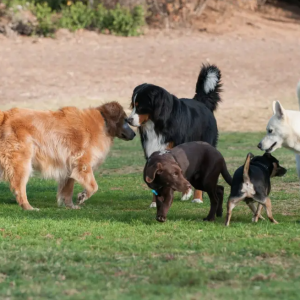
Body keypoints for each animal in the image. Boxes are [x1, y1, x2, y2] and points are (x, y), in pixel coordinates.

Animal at [0, 102, 135, 210]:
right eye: (125, 120)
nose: (134, 134)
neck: (104, 122)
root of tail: (5, 116)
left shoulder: (69, 167)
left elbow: (67, 190)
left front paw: (71, 206)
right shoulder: (83, 164)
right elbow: (94, 186)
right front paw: (82, 196)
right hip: (22, 163)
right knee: (19, 188)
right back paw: (28, 207)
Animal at [126, 64, 223, 207]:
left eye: (140, 106)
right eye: (133, 105)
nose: (128, 120)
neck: (157, 124)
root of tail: (201, 103)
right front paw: (155, 202)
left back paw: (196, 197)